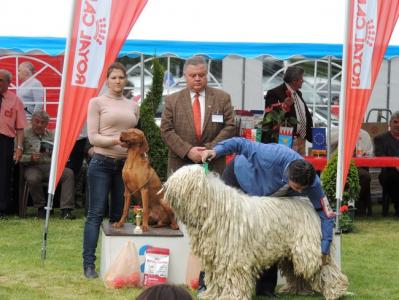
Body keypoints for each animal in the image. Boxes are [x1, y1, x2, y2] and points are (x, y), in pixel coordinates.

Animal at [164, 165, 348, 300]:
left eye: (181, 180)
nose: (166, 187)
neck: (217, 208)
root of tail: (312, 207)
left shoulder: (234, 258)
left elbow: (232, 277)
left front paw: (231, 296)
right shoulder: (216, 258)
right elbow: (216, 278)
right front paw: (212, 294)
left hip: (307, 250)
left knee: (325, 268)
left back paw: (336, 291)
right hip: (291, 254)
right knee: (299, 272)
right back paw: (298, 290)